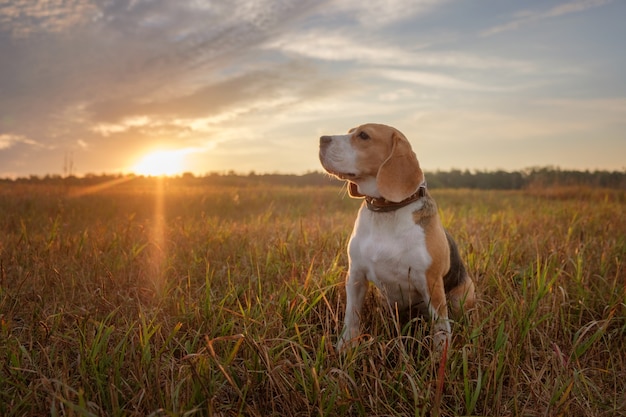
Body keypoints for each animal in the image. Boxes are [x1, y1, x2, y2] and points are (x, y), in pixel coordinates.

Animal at [316, 122, 472, 352]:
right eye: (349, 131)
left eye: (364, 135)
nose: (321, 139)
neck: (385, 210)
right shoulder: (355, 276)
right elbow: (351, 317)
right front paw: (345, 347)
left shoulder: (432, 283)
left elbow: (441, 328)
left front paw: (439, 356)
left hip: (461, 294)